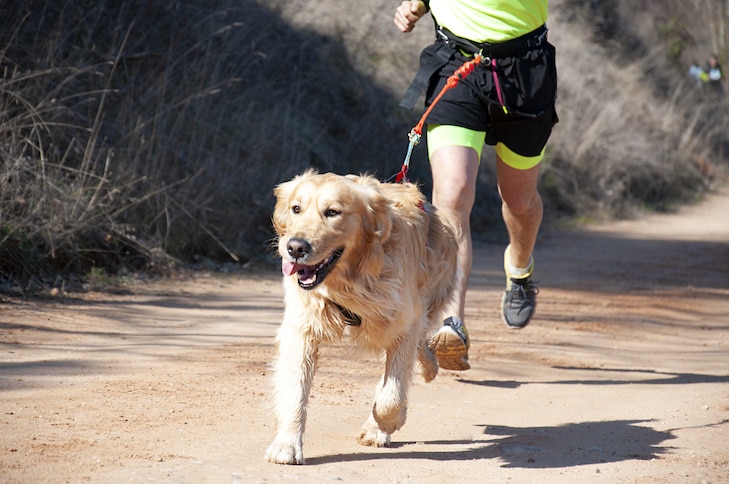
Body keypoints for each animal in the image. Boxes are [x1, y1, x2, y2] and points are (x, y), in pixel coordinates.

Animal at [264, 170, 456, 466]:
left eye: (332, 212)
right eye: (296, 208)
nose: (294, 248)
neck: (351, 278)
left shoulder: (404, 325)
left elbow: (391, 395)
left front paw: (383, 425)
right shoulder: (302, 329)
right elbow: (294, 389)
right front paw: (286, 445)